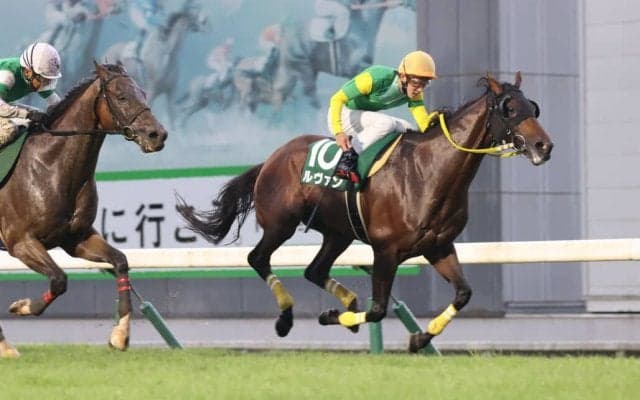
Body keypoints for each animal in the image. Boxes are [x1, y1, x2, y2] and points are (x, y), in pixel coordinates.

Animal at [0, 62, 167, 358]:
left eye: (143, 93)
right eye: (121, 96)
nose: (157, 134)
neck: (49, 167)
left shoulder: (75, 238)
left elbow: (121, 261)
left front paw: (120, 335)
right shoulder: (20, 241)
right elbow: (59, 280)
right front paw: (22, 306)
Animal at [175, 72, 552, 352]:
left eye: (533, 107)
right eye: (508, 108)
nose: (544, 146)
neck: (428, 174)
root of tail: (270, 159)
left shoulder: (438, 247)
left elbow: (463, 294)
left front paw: (421, 336)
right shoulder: (386, 251)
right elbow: (378, 310)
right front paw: (330, 316)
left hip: (338, 233)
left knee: (314, 270)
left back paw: (348, 300)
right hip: (281, 224)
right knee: (258, 258)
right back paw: (286, 318)